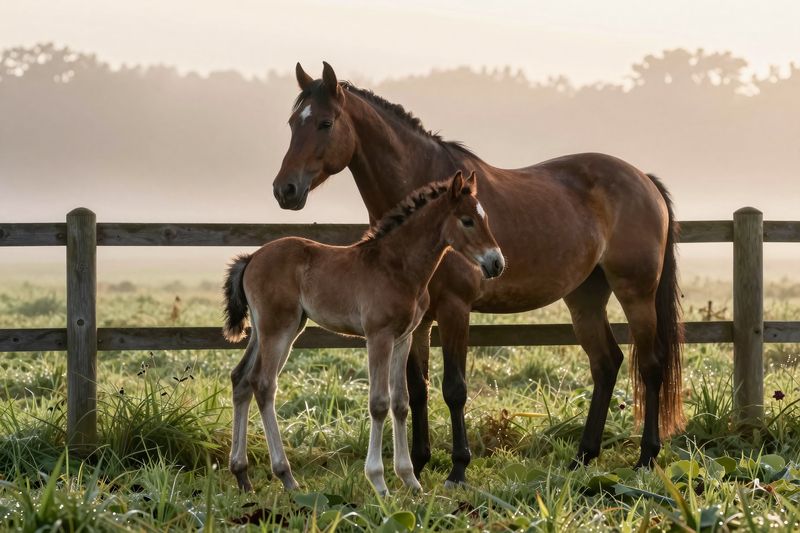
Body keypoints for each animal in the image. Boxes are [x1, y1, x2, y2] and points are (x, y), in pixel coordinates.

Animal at [223, 170, 504, 494]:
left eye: (485, 218)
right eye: (467, 220)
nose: (497, 263)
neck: (397, 266)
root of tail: (252, 258)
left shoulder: (403, 338)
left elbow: (401, 403)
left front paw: (410, 480)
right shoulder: (378, 336)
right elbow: (379, 403)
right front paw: (379, 482)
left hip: (271, 329)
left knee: (241, 379)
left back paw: (242, 475)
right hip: (278, 328)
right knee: (264, 384)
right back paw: (286, 477)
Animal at [271, 62, 685, 486]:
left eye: (324, 123)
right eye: (292, 122)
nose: (285, 190)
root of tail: (644, 180)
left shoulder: (455, 309)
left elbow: (454, 388)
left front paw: (458, 468)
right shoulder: (419, 319)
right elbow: (416, 389)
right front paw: (418, 463)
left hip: (636, 292)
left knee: (650, 365)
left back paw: (646, 457)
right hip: (585, 298)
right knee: (605, 363)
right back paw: (583, 457)